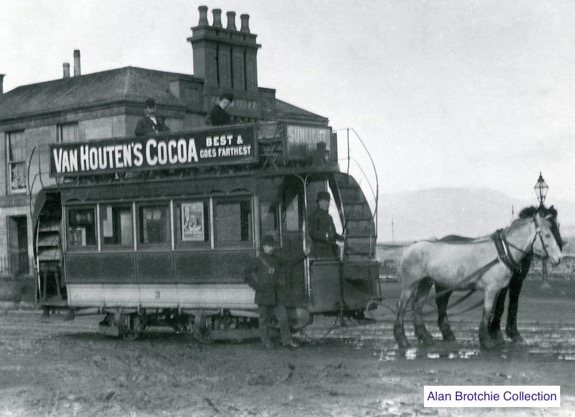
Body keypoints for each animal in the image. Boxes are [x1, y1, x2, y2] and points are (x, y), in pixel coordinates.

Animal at [394, 211, 564, 348]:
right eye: (547, 235)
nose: (559, 259)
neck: (502, 252)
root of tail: (409, 248)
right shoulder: (491, 288)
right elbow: (487, 311)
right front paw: (486, 340)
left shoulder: (498, 289)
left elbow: (495, 310)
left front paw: (492, 337)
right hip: (410, 284)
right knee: (402, 307)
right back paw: (402, 339)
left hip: (425, 283)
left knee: (417, 307)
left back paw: (426, 337)